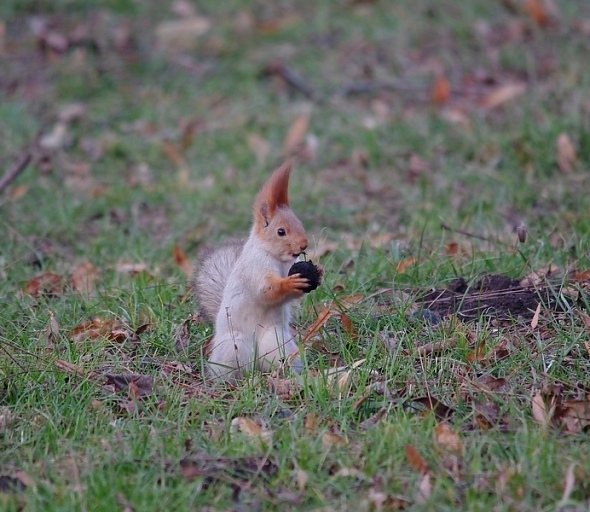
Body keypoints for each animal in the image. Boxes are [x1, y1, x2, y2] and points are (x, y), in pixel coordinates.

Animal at [193, 162, 324, 382]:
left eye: (300, 223)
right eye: (281, 231)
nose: (304, 245)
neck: (277, 258)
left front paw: (318, 272)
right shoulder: (256, 267)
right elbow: (266, 290)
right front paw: (289, 283)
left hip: (277, 341)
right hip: (234, 347)